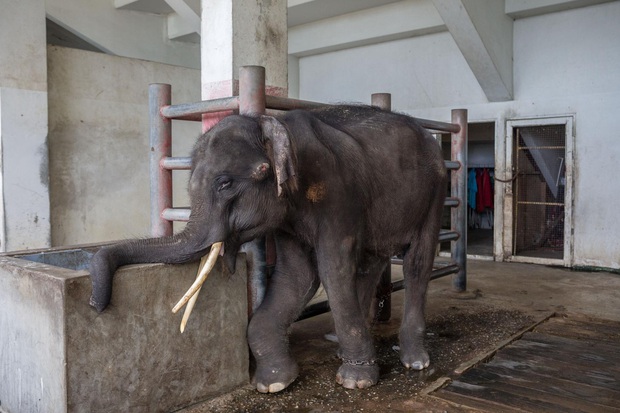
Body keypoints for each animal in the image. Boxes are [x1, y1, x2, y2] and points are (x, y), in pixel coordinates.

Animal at [88, 104, 446, 392]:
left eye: (225, 184)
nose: (95, 305)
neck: (272, 125)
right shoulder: (287, 214)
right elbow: (297, 275)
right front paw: (272, 383)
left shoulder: (337, 193)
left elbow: (333, 268)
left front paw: (355, 381)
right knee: (373, 261)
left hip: (435, 191)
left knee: (417, 262)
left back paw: (415, 360)